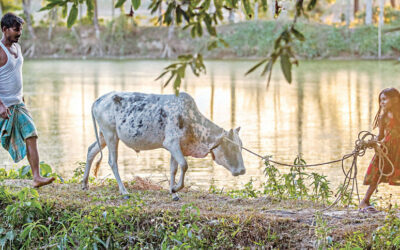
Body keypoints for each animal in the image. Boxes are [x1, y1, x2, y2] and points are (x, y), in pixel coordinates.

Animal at [82, 91, 245, 200]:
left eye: (241, 146)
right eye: (232, 147)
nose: (242, 170)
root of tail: (98, 100)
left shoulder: (177, 147)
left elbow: (174, 169)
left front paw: (173, 192)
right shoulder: (171, 143)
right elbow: (184, 165)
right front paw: (176, 188)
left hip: (103, 135)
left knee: (91, 151)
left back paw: (84, 184)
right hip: (110, 134)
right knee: (112, 161)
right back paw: (124, 191)